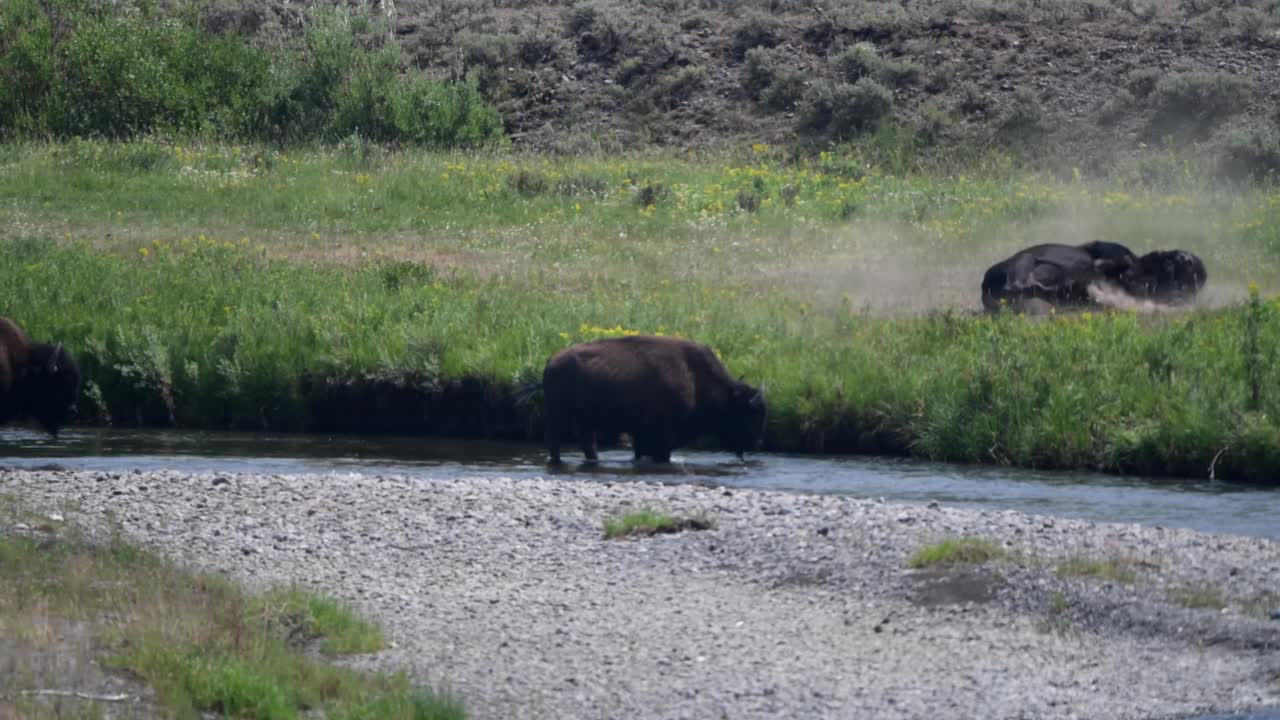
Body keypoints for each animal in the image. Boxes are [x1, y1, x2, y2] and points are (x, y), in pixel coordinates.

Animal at [537, 333, 762, 461]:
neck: (694, 376)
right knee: (556, 441)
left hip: (584, 421)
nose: (757, 443)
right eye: (748, 414)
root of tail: (551, 361)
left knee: (586, 443)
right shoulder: (663, 434)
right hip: (559, 416)